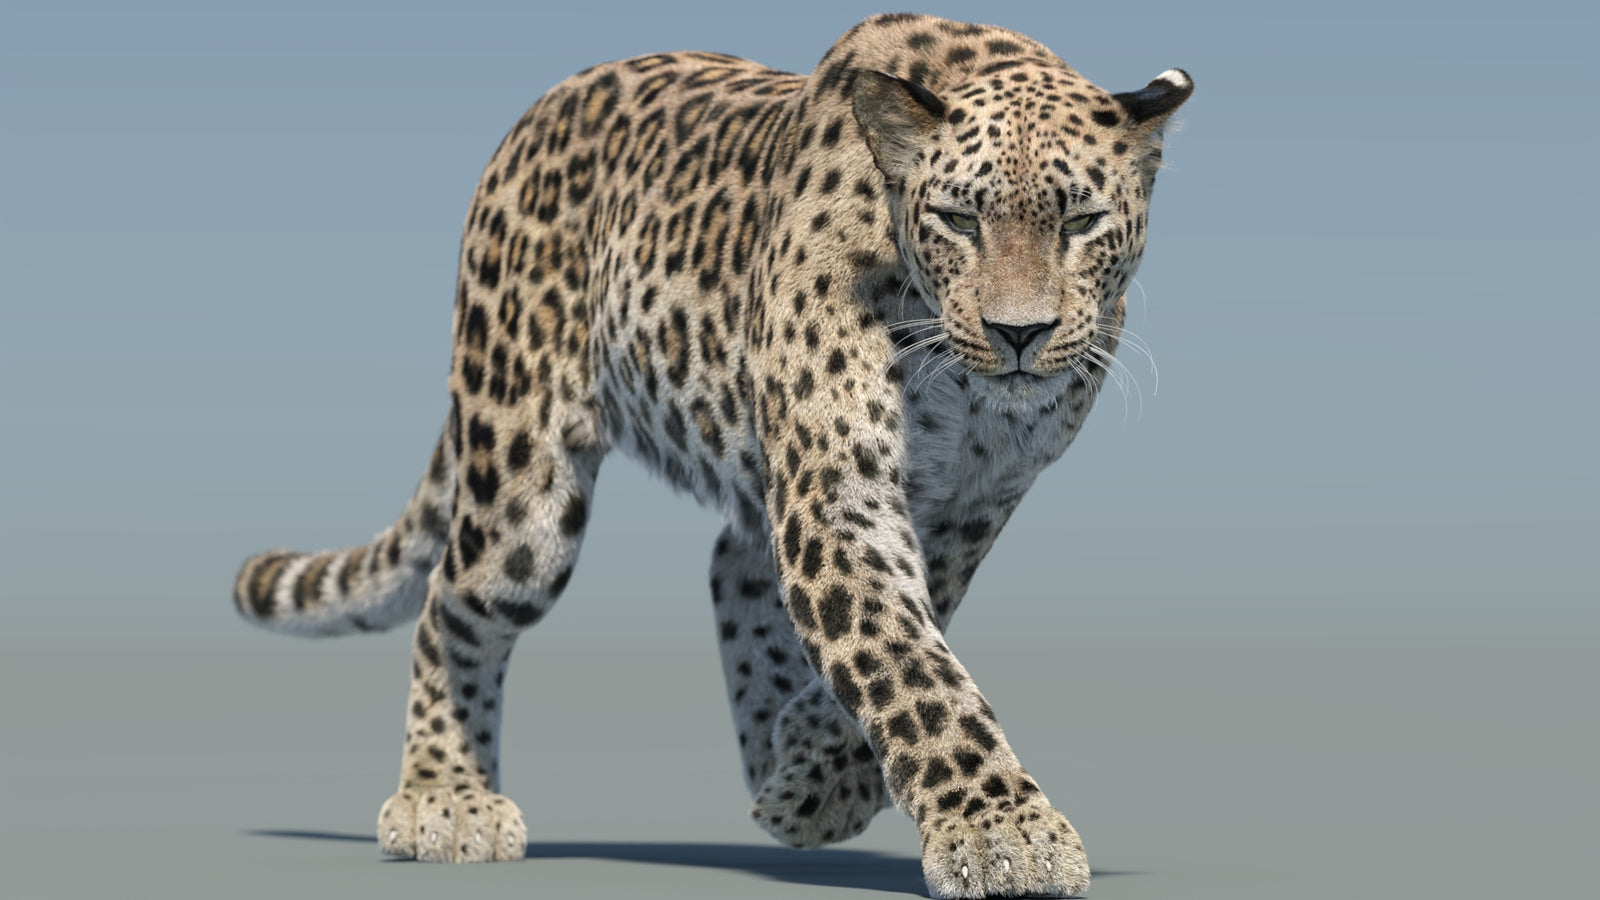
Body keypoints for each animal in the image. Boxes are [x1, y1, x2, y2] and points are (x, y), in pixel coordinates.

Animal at [233, 13, 1191, 899]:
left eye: (1081, 222)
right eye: (960, 220)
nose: (1018, 333)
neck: (964, 389)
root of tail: (533, 116)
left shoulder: (970, 506)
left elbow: (905, 637)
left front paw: (820, 770)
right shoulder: (837, 495)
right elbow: (906, 663)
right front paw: (1003, 835)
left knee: (733, 566)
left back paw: (778, 762)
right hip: (521, 489)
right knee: (451, 603)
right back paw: (445, 798)